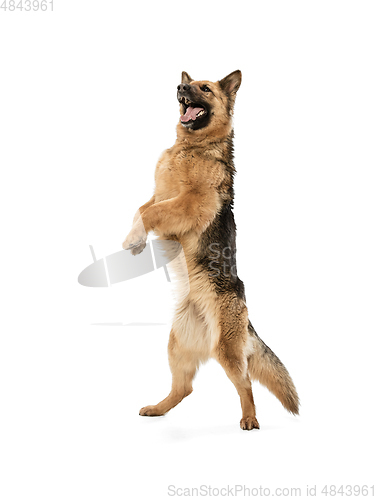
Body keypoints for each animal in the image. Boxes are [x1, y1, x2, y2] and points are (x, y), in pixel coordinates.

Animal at [122, 70, 298, 430]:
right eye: (188, 85)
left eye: (205, 89)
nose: (180, 87)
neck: (193, 146)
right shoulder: (160, 195)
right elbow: (141, 209)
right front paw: (134, 240)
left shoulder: (189, 204)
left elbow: (149, 213)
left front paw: (134, 239)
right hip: (178, 346)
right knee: (184, 388)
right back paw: (158, 408)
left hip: (227, 352)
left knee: (245, 382)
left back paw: (249, 419)